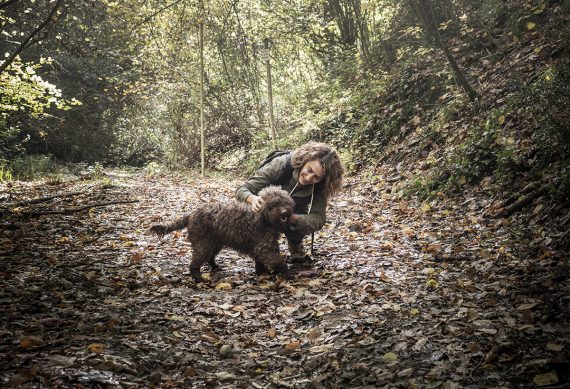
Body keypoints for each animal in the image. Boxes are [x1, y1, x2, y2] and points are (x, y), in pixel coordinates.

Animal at [150, 186, 292, 282]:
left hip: (214, 242)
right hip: (203, 243)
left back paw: (216, 267)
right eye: (273, 204)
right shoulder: (264, 249)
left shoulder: (262, 247)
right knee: (195, 263)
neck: (263, 217)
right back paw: (199, 279)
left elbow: (262, 262)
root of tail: (191, 214)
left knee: (210, 258)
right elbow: (278, 260)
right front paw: (286, 272)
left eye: (285, 201)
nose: (284, 212)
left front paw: (262, 273)